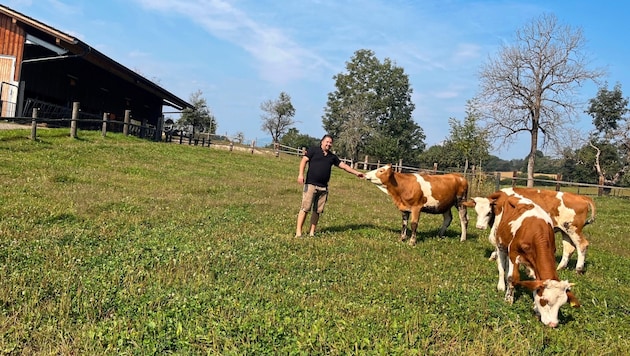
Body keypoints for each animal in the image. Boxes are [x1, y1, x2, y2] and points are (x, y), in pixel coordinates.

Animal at [464, 195, 584, 328]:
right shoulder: (513, 253)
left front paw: (535, 307)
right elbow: (512, 277)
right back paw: (501, 285)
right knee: (501, 266)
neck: (536, 231)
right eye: (544, 301)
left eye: (562, 304)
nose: (553, 324)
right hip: (501, 244)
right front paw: (508, 298)